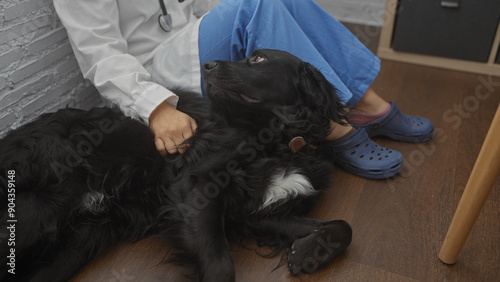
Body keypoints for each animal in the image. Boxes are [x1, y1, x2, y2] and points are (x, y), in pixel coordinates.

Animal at [0, 49, 352, 280]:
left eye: (258, 59)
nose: (206, 65)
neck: (280, 140)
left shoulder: (261, 214)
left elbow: (343, 227)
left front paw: (307, 253)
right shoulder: (196, 190)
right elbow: (219, 264)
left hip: (76, 244)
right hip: (31, 214)